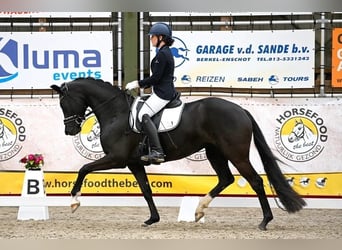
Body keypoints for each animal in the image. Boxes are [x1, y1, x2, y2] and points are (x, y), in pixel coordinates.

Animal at [51, 77, 308, 230]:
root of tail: (241, 110)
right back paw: (199, 210)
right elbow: (146, 189)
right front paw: (152, 219)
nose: (69, 130)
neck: (116, 113)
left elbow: (84, 169)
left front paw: (74, 201)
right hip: (215, 152)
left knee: (255, 181)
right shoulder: (134, 163)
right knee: (226, 179)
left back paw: (264, 221)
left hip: (236, 153)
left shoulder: (117, 159)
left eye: (64, 103)